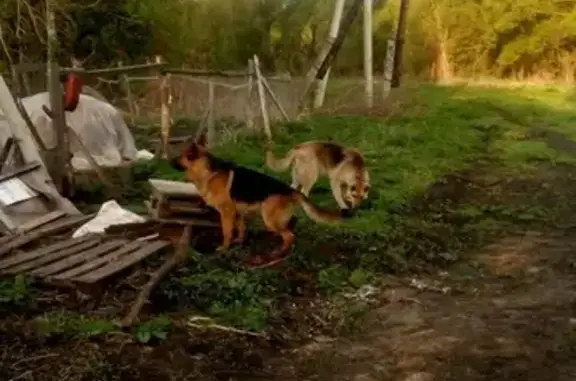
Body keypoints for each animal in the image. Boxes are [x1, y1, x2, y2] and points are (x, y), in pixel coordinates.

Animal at [170, 135, 342, 266]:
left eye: (180, 156)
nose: (169, 161)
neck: (207, 171)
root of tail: (291, 190)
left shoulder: (226, 211)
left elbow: (227, 232)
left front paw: (224, 249)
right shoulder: (236, 212)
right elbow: (240, 228)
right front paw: (239, 242)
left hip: (269, 218)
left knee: (289, 235)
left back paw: (278, 254)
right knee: (291, 226)